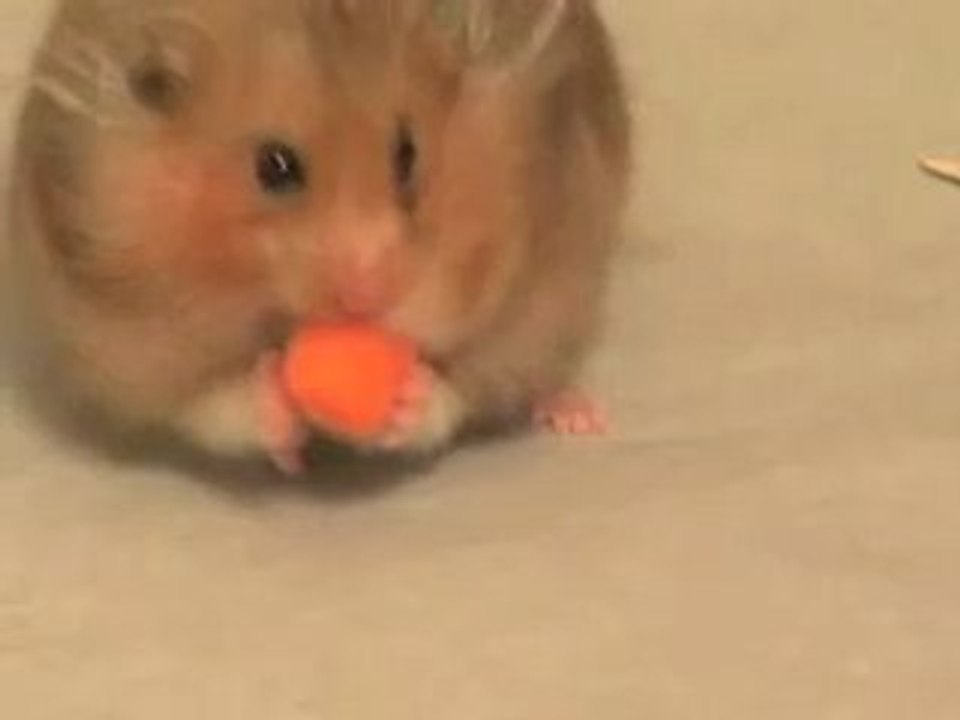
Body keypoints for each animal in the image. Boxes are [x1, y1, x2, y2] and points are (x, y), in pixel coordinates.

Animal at [8, 0, 632, 471]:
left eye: (407, 154)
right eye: (274, 167)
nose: (367, 300)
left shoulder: (544, 283)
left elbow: (466, 383)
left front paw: (409, 399)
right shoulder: (118, 334)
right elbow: (207, 400)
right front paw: (276, 414)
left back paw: (577, 414)